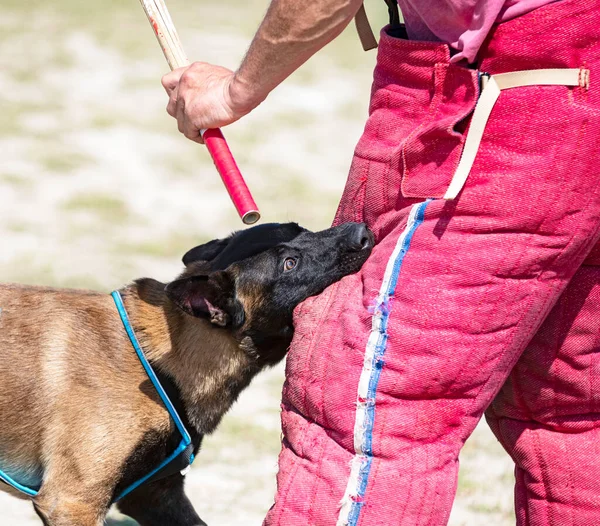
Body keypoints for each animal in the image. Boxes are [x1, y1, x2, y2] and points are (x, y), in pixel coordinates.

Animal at [0, 223, 372, 526]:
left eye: (301, 228)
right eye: (289, 264)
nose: (362, 231)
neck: (159, 363)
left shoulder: (154, 496)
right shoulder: (72, 502)